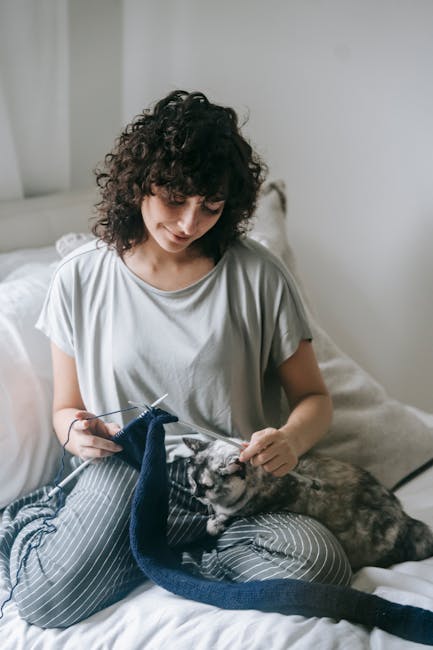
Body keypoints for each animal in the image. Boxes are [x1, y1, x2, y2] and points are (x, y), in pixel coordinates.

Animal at [181, 436, 432, 568]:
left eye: (207, 486)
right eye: (192, 480)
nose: (196, 494)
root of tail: (405, 520)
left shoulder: (253, 504)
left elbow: (225, 517)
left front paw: (214, 524)